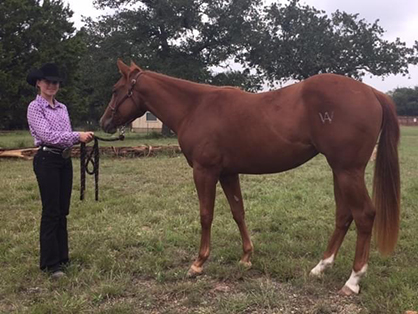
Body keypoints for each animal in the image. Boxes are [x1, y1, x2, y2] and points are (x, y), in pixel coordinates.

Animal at [99, 60, 400, 296]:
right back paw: (320, 267)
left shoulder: (204, 171)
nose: (104, 123)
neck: (196, 107)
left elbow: (206, 214)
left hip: (348, 171)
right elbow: (238, 212)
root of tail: (372, 92)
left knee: (364, 215)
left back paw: (353, 280)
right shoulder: (228, 173)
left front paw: (198, 264)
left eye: (115, 90)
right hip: (340, 171)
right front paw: (246, 257)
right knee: (344, 215)